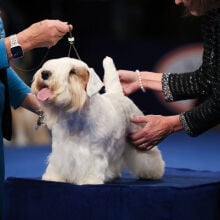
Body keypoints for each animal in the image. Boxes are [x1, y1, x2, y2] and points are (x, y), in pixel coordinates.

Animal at [31, 56, 165, 184]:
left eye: (72, 71)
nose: (45, 73)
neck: (75, 119)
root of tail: (118, 94)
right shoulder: (60, 150)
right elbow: (58, 164)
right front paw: (54, 177)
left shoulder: (95, 153)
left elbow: (92, 167)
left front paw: (89, 180)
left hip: (139, 137)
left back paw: (153, 173)